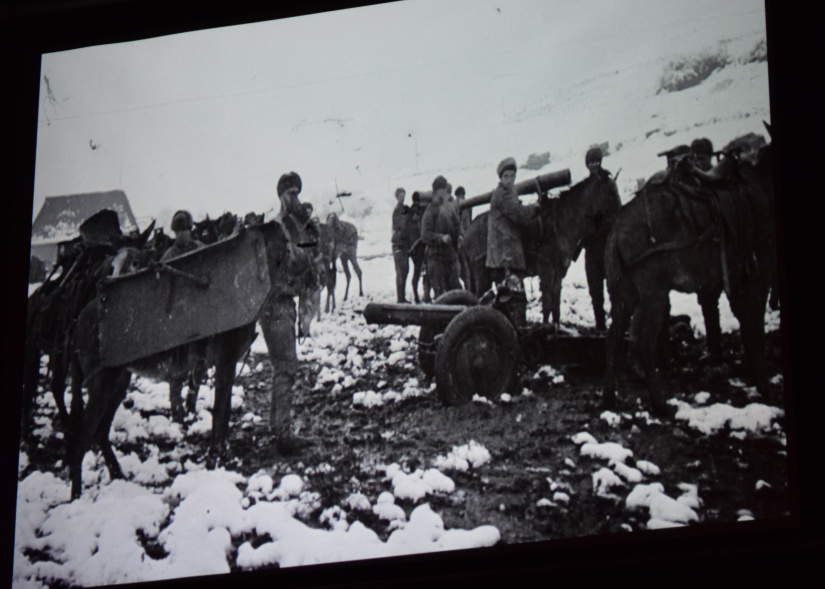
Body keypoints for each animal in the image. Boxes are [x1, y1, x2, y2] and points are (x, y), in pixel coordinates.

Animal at [67, 219, 322, 496]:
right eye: (288, 245)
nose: (315, 275)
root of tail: (78, 319)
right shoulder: (225, 361)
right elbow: (219, 411)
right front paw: (214, 459)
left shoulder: (227, 365)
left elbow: (225, 410)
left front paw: (222, 453)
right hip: (101, 382)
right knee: (82, 438)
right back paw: (77, 494)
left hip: (118, 381)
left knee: (100, 432)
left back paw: (117, 475)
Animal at [460, 172, 620, 328]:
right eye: (611, 192)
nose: (619, 217)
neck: (559, 225)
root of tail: (467, 234)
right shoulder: (546, 271)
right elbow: (547, 302)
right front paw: (546, 326)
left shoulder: (558, 273)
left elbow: (556, 303)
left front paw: (556, 326)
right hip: (482, 273)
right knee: (481, 297)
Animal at [600, 146, 776, 414]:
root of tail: (617, 231)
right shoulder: (758, 272)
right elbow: (753, 325)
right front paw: (763, 384)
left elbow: (742, 319)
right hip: (653, 292)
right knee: (644, 341)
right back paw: (660, 404)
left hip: (624, 291)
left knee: (614, 337)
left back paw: (609, 399)